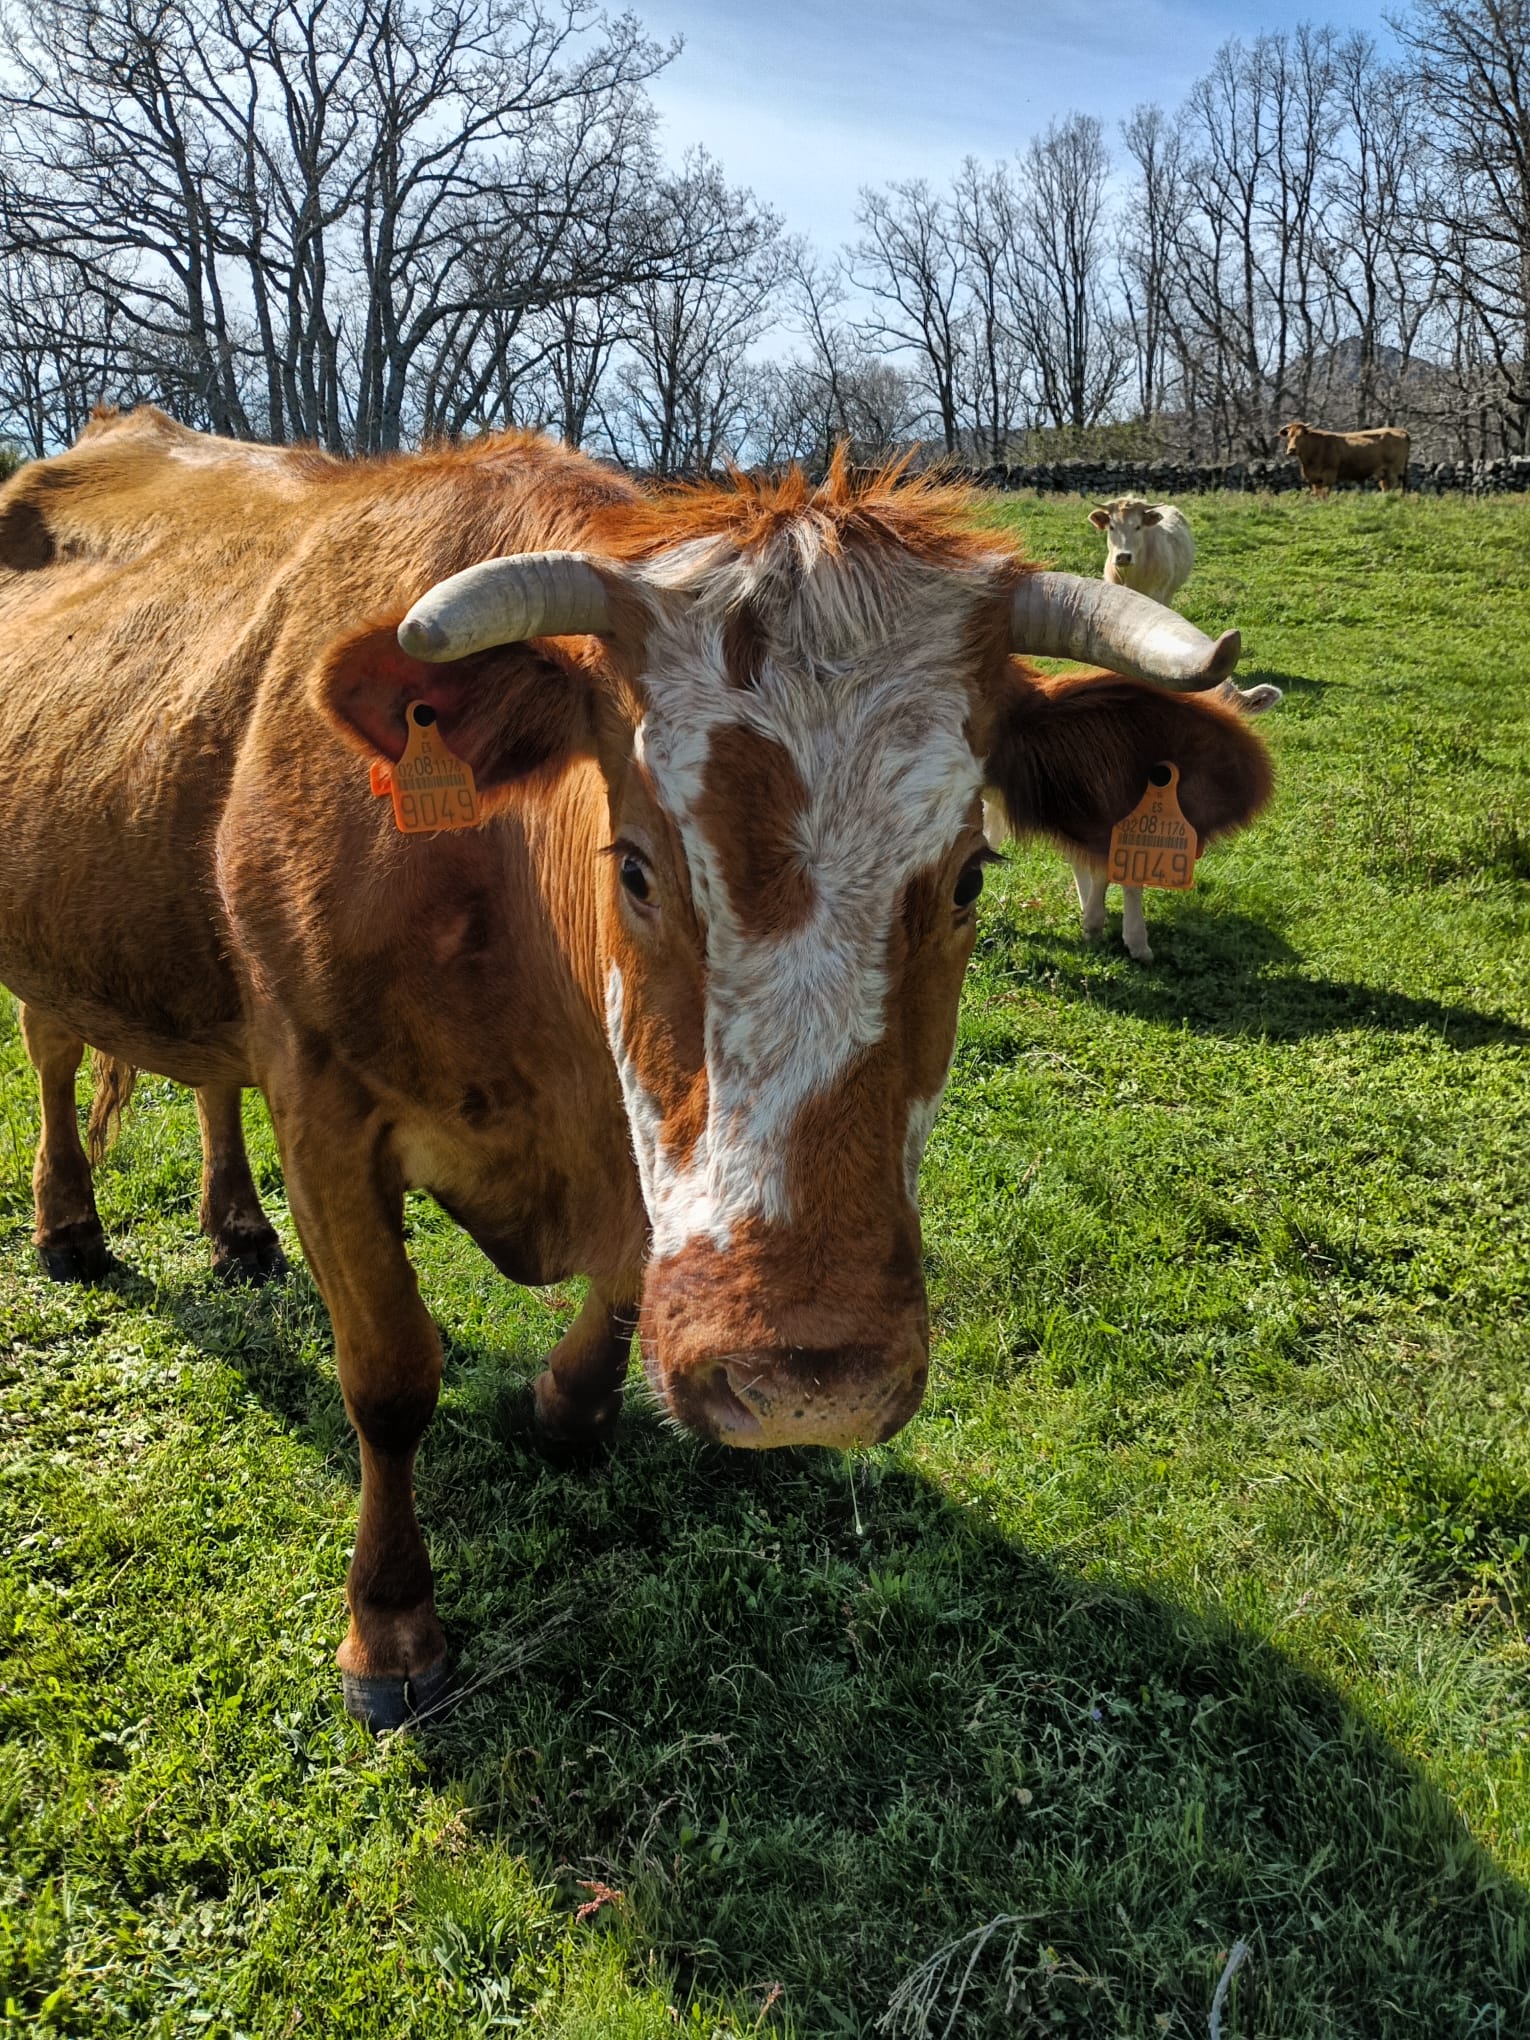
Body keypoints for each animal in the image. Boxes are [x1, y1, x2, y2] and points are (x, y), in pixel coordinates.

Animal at [0, 407, 1271, 1727]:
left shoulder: (632, 1147)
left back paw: (237, 1227)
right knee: (53, 1053)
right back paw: (68, 1225)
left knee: (209, 1073)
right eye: (637, 866)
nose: (811, 1381)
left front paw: (567, 1408)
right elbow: (390, 1373)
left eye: (970, 876)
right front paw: (391, 1628)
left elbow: (624, 1279)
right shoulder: (324, 1108)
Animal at [1278, 421, 1410, 495]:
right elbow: (1317, 495)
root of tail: (1402, 431)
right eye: (1289, 436)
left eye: (1302, 436)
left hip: (1393, 471)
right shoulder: (1314, 479)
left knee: (1393, 489)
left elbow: (1325, 495)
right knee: (1387, 489)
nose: (1292, 450)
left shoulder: (1329, 475)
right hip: (1384, 474)